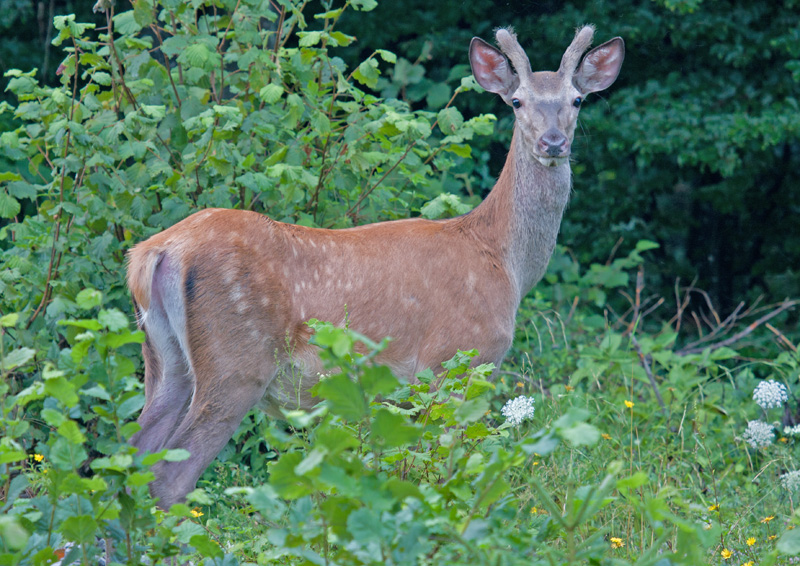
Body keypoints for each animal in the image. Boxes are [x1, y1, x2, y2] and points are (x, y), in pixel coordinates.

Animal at [126, 25, 624, 510]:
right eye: (517, 100)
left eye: (576, 99)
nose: (553, 142)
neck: (503, 260)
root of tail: (154, 253)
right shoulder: (456, 361)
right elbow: (446, 473)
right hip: (236, 360)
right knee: (169, 477)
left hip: (164, 358)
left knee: (130, 459)